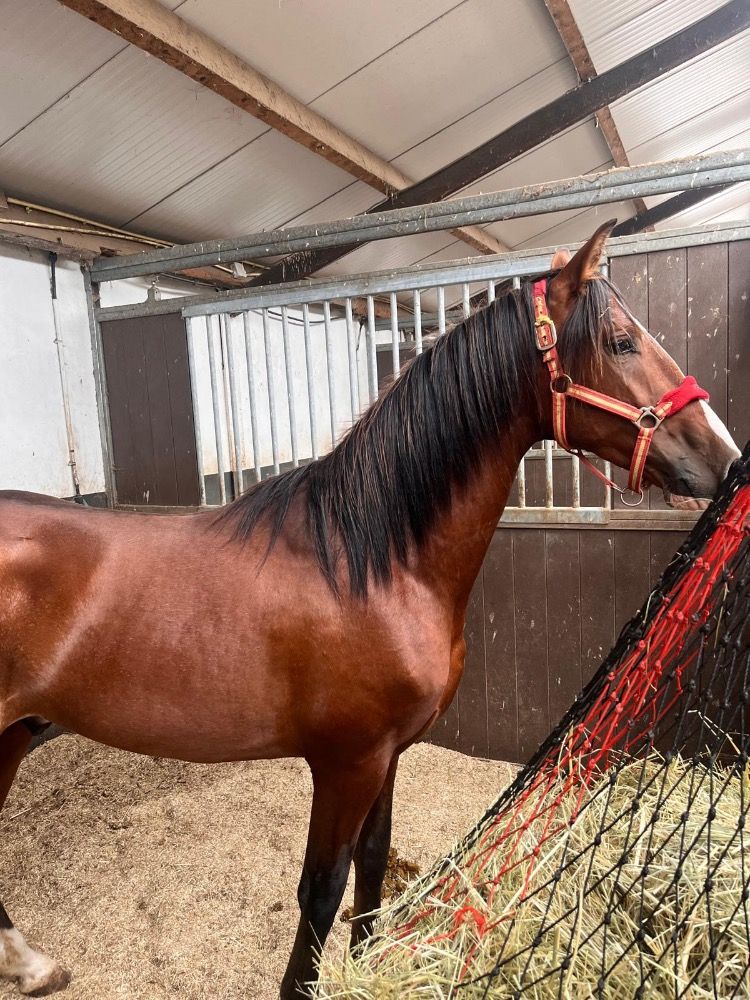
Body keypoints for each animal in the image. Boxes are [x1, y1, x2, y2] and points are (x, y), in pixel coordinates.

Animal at [0, 221, 740, 998]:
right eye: (623, 341)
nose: (725, 457)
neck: (374, 565)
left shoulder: (389, 754)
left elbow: (373, 864)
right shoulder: (347, 762)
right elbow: (322, 888)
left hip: (12, 735)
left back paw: (32, 963)